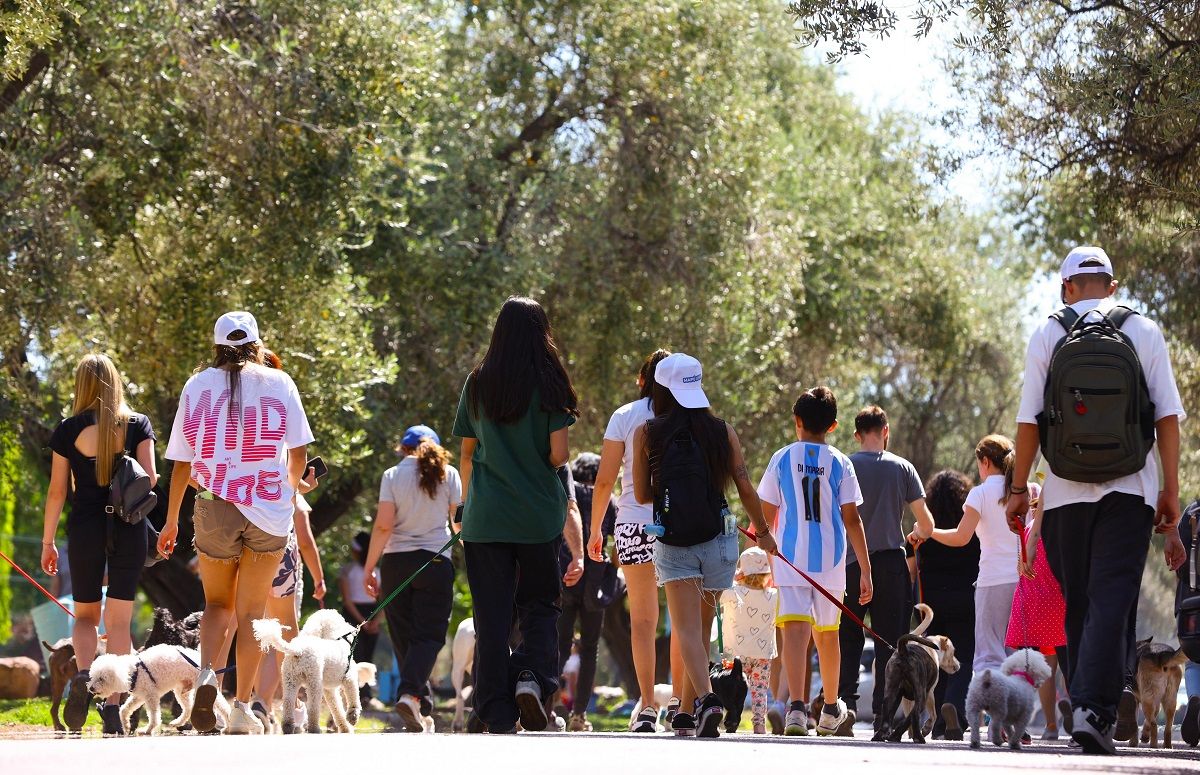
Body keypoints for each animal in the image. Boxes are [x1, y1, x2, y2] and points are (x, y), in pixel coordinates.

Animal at [87, 647, 228, 739]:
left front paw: (148, 730)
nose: (91, 688)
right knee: (188, 709)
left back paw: (227, 724)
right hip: (181, 691)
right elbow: (124, 710)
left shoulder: (151, 696)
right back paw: (178, 722)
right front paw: (126, 726)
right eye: (92, 677)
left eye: (101, 678)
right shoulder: (139, 696)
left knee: (222, 705)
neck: (134, 672)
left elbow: (154, 716)